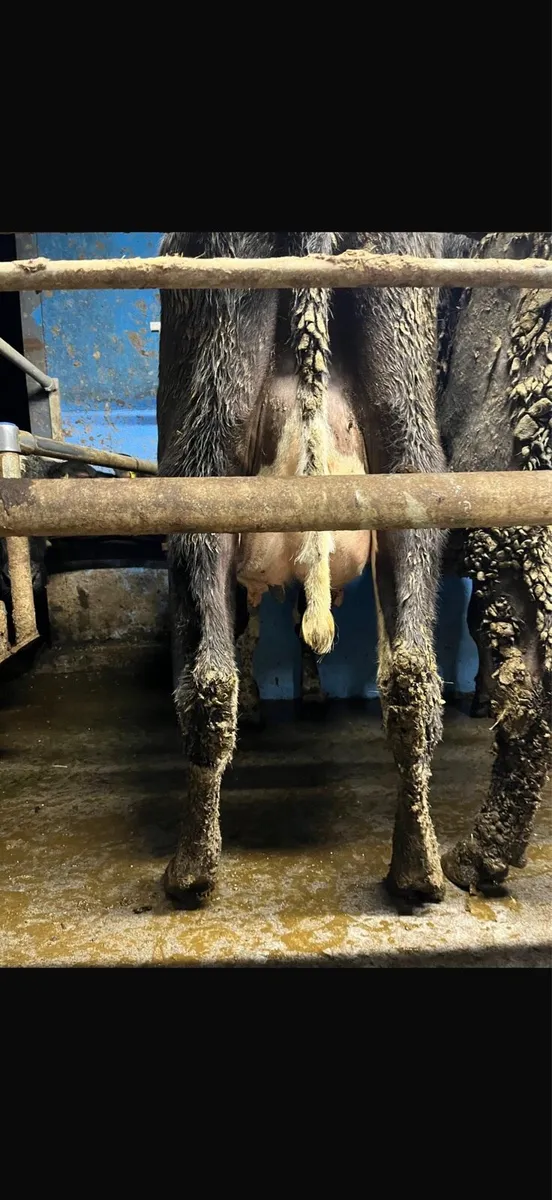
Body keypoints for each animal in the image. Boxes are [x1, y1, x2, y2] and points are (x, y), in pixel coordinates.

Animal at [157, 231, 449, 906]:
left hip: (206, 441)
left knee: (208, 677)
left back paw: (190, 872)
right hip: (406, 441)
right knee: (412, 674)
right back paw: (417, 870)